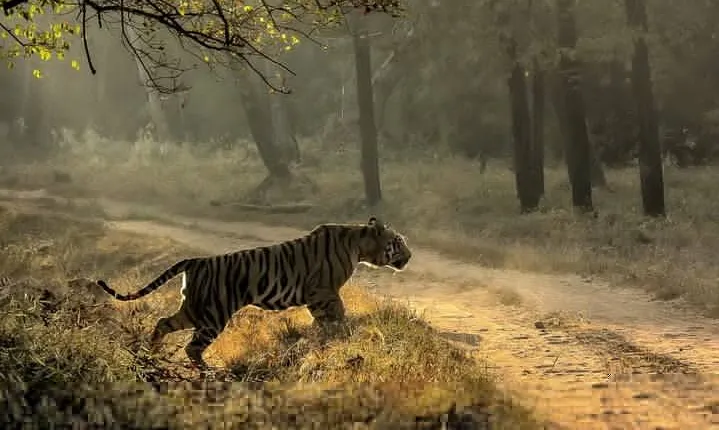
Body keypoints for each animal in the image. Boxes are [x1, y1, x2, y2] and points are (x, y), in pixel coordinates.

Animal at [96, 216, 411, 369]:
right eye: (398, 242)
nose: (410, 255)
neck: (359, 245)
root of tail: (194, 261)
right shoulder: (322, 292)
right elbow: (335, 316)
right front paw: (338, 335)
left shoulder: (321, 295)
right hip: (213, 315)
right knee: (192, 346)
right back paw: (206, 371)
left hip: (193, 309)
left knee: (163, 323)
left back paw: (151, 354)